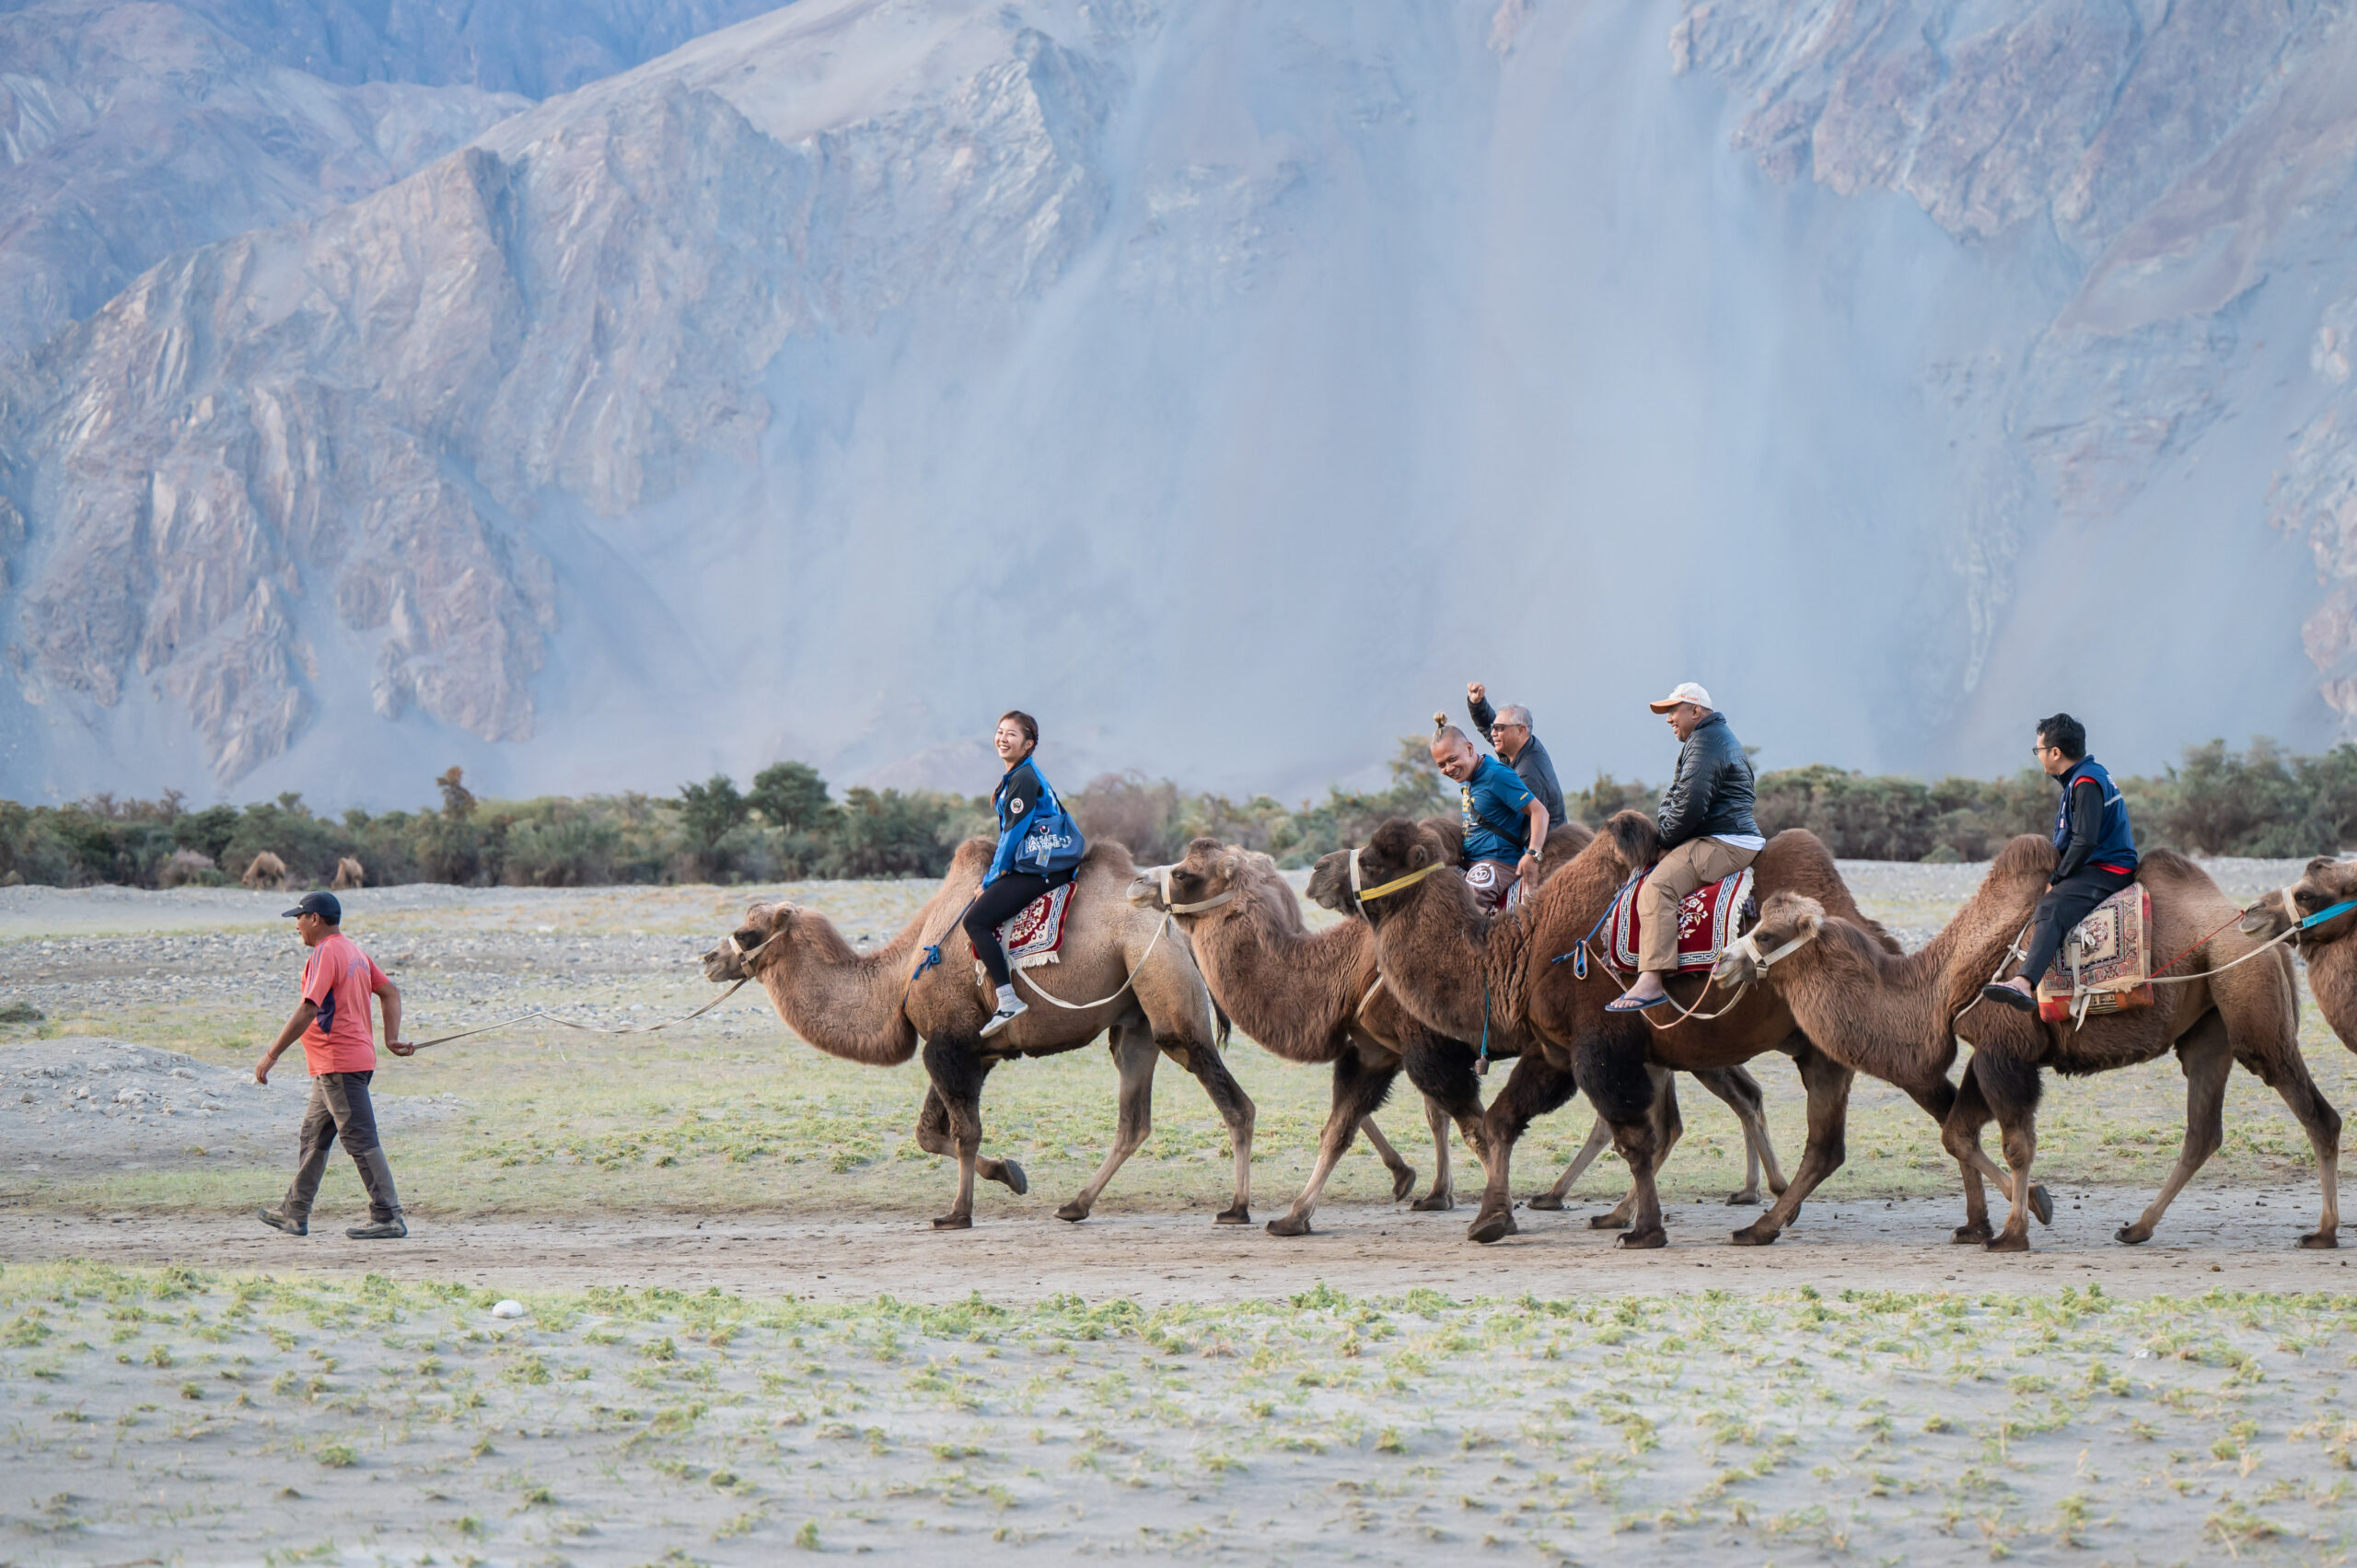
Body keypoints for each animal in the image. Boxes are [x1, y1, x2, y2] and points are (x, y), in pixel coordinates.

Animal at [702, 839, 1244, 1225]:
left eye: (748, 933)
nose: (709, 959)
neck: (900, 975)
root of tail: (1180, 930)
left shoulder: (947, 1046)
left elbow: (964, 1133)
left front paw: (957, 1213)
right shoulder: (970, 1051)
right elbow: (930, 1134)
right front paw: (1012, 1174)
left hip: (1167, 997)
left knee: (1229, 1098)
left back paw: (1237, 1209)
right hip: (1134, 1022)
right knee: (1133, 1120)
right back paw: (1075, 1205)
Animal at [1735, 830, 2338, 1245]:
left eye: (1764, 933)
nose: (1724, 962)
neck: (1936, 988)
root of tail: (2266, 933)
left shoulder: (2007, 1050)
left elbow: (2016, 1142)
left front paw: (2013, 1233)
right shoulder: (1988, 1050)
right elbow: (1957, 1133)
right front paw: (2021, 1213)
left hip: (2249, 998)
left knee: (2314, 1112)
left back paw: (2323, 1232)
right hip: (2208, 1026)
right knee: (2202, 1131)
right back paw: (2137, 1229)